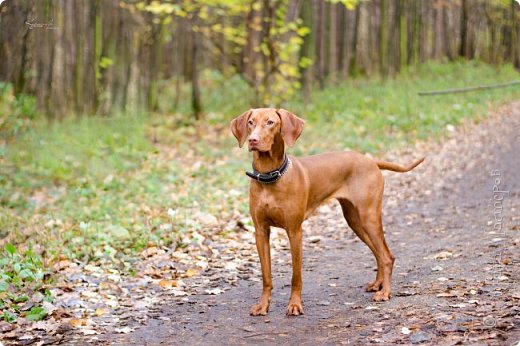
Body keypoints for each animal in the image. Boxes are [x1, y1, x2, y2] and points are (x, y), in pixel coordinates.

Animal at [231, 108, 422, 316]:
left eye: (270, 122)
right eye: (250, 122)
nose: (253, 140)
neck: (270, 177)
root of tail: (371, 161)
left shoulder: (295, 231)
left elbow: (296, 276)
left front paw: (295, 305)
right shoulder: (260, 232)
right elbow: (266, 276)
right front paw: (263, 305)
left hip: (368, 216)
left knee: (387, 256)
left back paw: (385, 292)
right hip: (354, 221)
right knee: (379, 253)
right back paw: (377, 284)